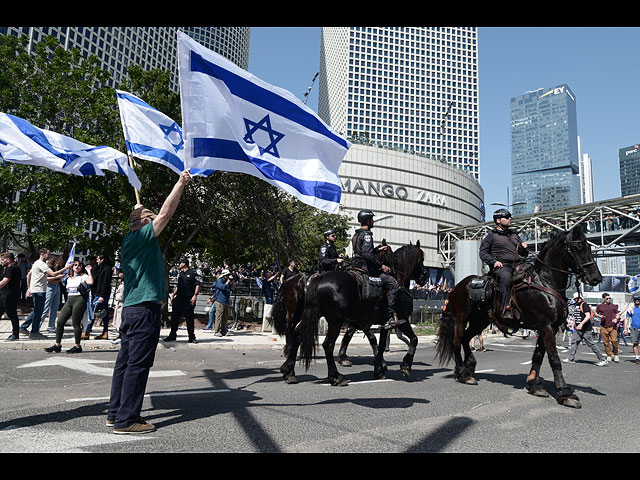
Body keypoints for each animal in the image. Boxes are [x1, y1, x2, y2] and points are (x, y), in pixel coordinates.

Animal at [296, 240, 428, 386]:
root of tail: (318, 278)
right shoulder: (402, 320)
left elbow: (380, 345)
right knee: (328, 345)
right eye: (421, 259)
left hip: (315, 316)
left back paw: (290, 371)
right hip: (336, 321)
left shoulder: (382, 323)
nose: (424, 277)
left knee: (299, 335)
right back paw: (336, 377)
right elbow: (414, 339)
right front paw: (405, 366)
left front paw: (379, 370)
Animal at [432, 225, 604, 408]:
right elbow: (554, 359)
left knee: (465, 338)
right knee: (456, 342)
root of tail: (456, 288)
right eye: (578, 247)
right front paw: (565, 394)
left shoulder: (548, 327)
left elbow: (538, 356)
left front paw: (534, 385)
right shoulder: (546, 326)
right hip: (460, 319)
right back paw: (461, 373)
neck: (545, 282)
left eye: (590, 247)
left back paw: (470, 371)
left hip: (480, 321)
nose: (596, 278)